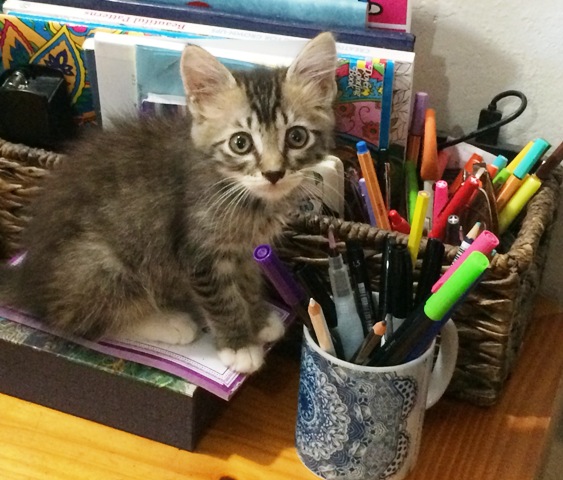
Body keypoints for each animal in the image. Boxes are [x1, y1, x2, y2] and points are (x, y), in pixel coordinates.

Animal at [0, 32, 337, 374]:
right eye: (240, 143)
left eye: (296, 137)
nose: (273, 173)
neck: (239, 194)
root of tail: (28, 280)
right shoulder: (198, 252)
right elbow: (223, 299)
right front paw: (238, 344)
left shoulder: (247, 249)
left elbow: (248, 280)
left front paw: (257, 318)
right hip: (100, 265)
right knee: (86, 320)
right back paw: (169, 322)